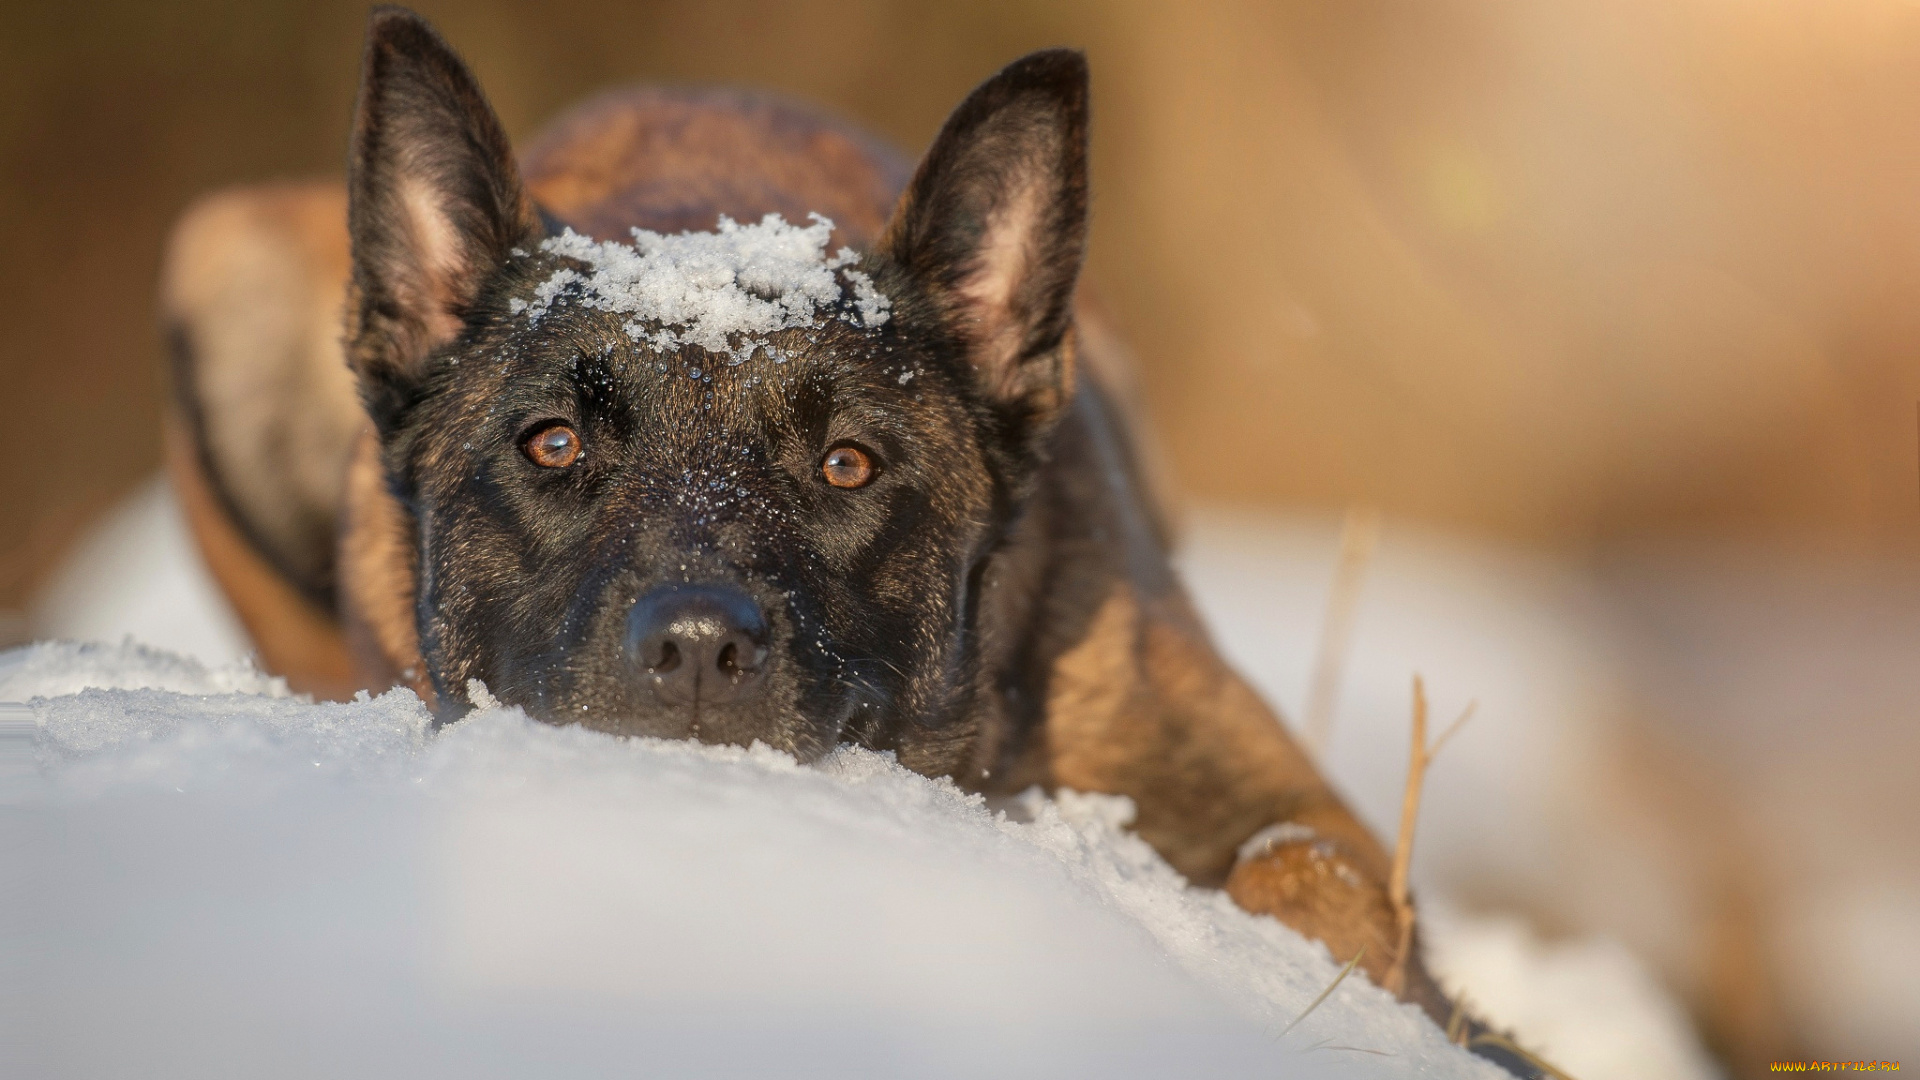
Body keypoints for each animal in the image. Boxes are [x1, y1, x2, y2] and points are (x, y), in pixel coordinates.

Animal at [165, 8, 1543, 1068]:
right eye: (552, 445)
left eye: (848, 465)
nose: (698, 652)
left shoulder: (1286, 802)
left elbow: (1300, 871)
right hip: (216, 257)